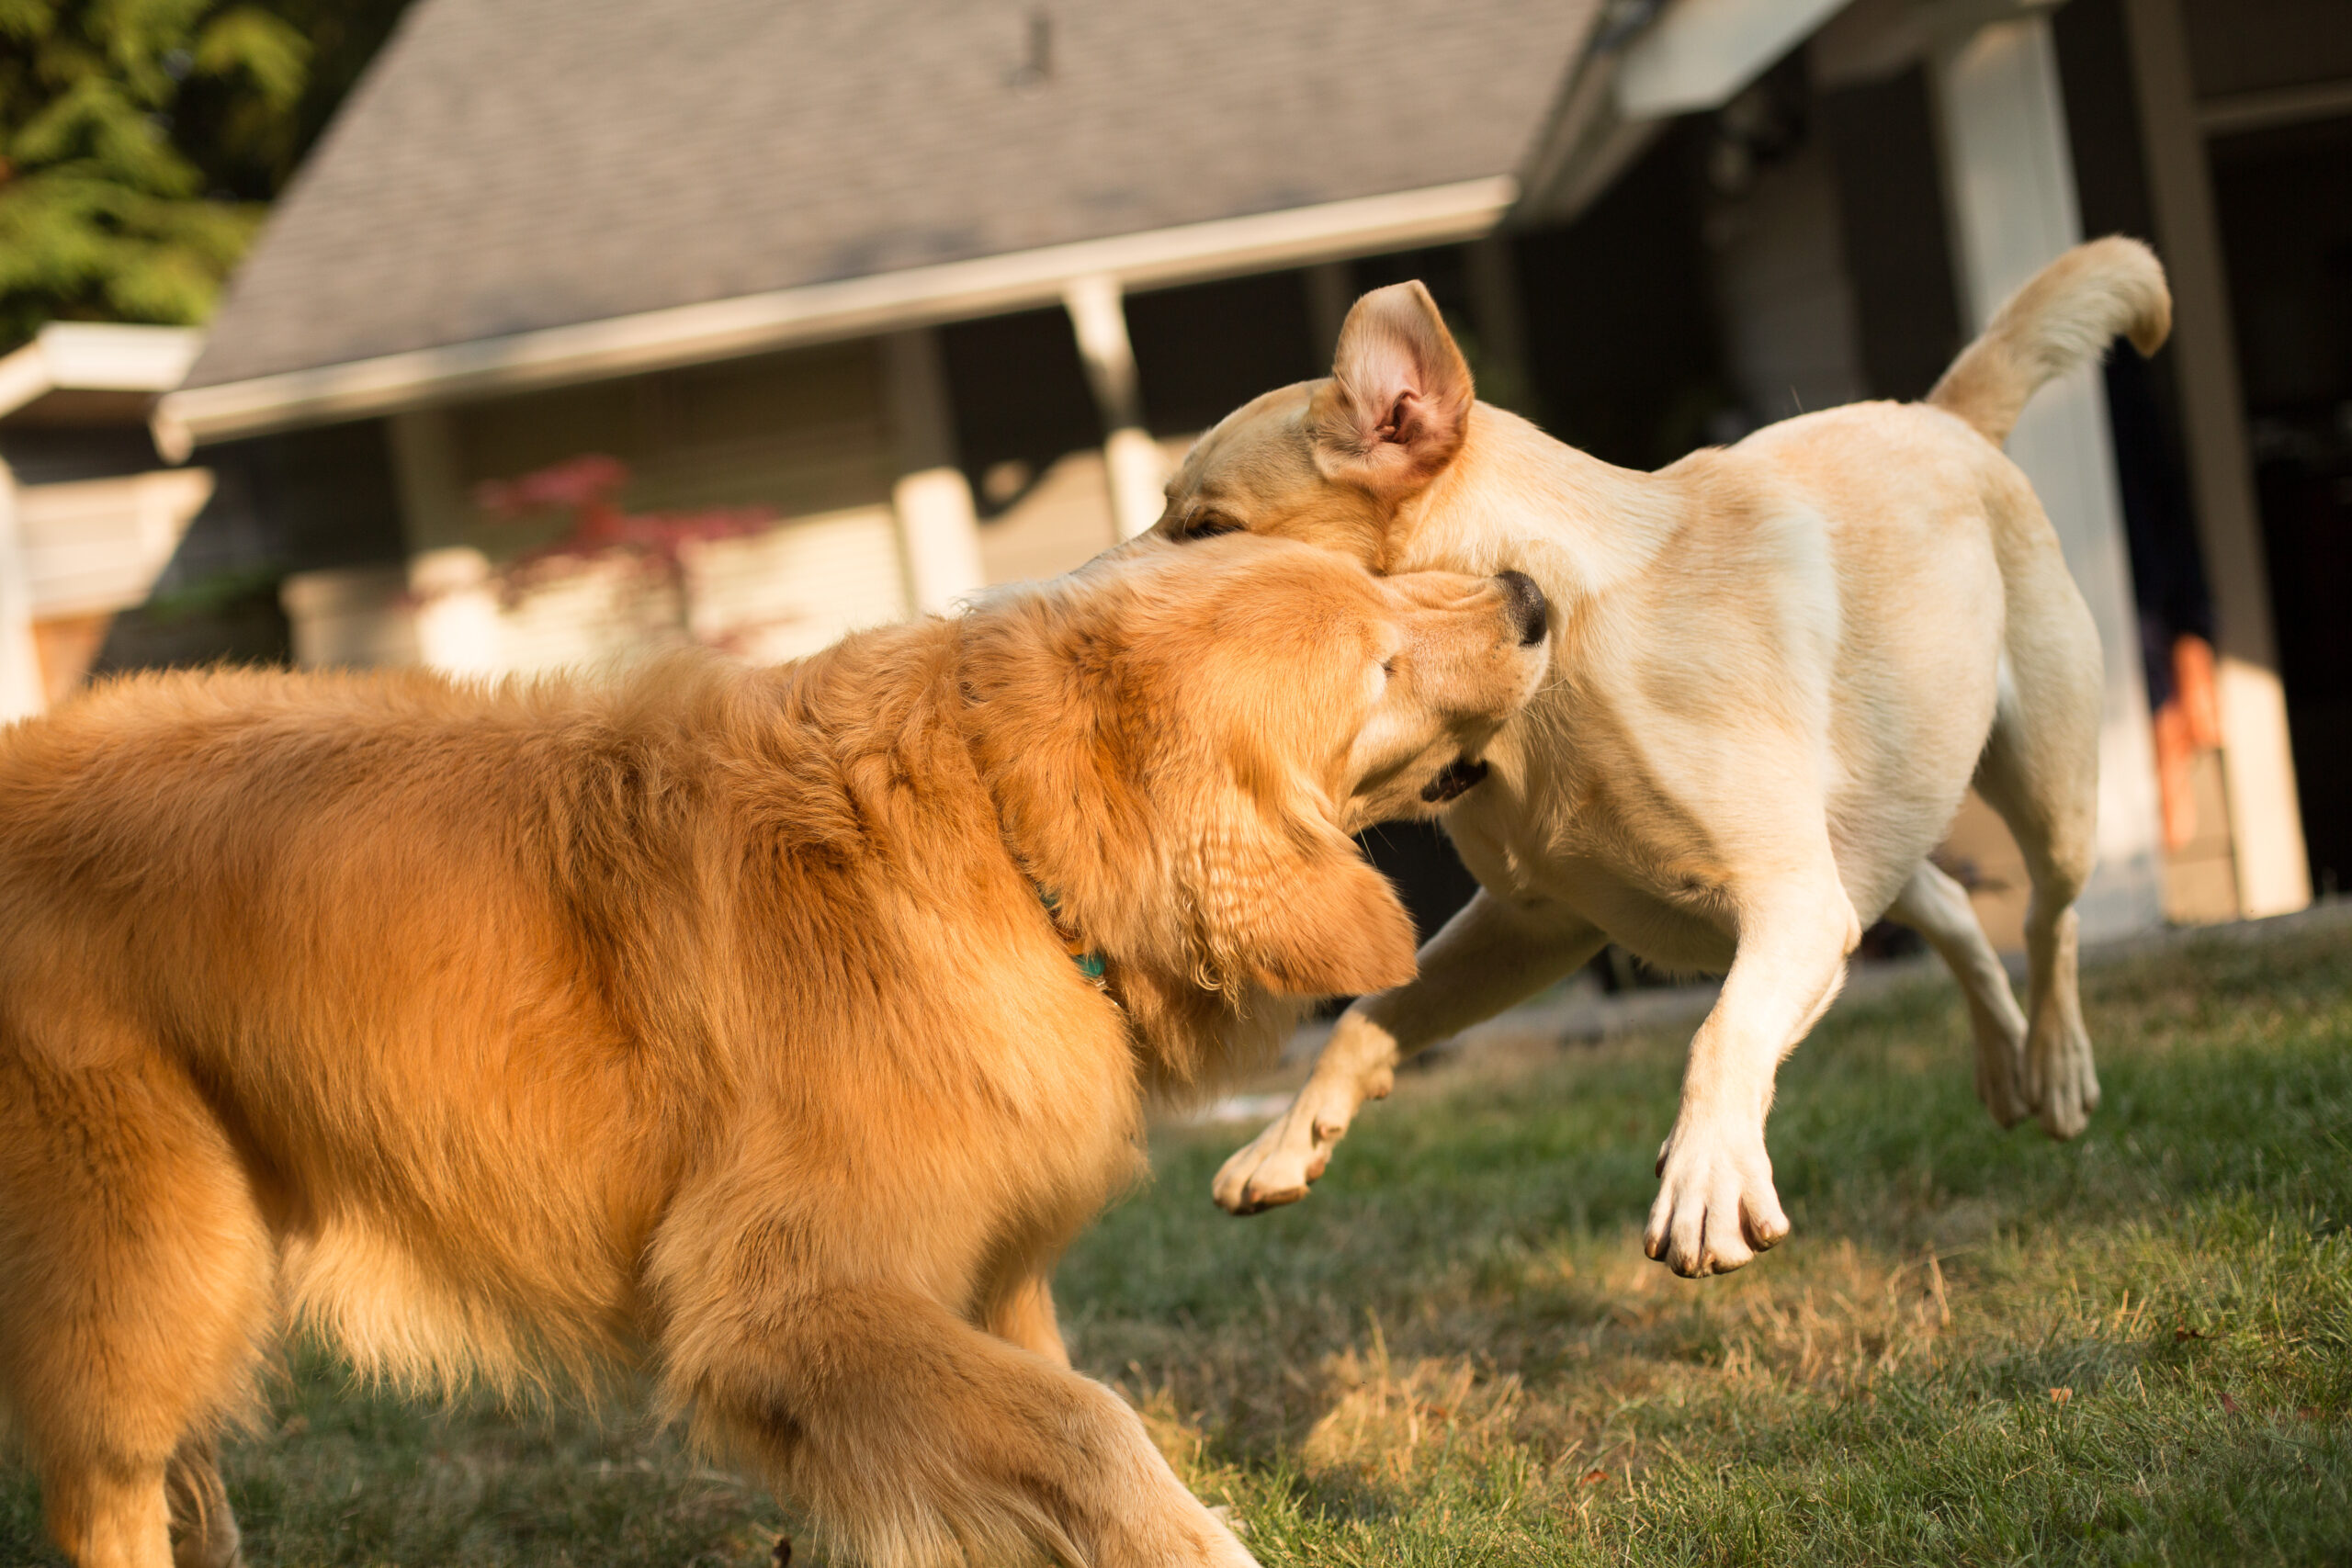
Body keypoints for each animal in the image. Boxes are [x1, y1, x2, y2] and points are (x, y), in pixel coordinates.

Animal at [5, 536, 1561, 1568]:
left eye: (1378, 583)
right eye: (1376, 662)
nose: (1535, 595)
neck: (1008, 843)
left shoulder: (979, 1279)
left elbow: (1043, 1429)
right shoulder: (782, 1304)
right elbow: (1093, 1426)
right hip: (154, 1256)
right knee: (104, 1485)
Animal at [1157, 242, 2164, 1279]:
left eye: (1206, 530)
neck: (1554, 663)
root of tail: (1943, 417)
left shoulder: (1788, 904)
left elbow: (1720, 1033)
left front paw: (1706, 1178)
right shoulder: (1536, 922)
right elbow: (1366, 1019)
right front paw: (1285, 1142)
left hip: (2045, 792)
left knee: (2049, 918)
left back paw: (2052, 1062)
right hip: (1864, 849)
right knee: (1955, 908)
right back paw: (2002, 1060)